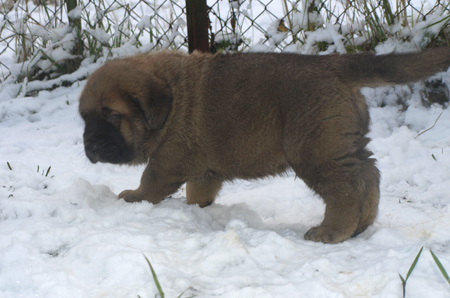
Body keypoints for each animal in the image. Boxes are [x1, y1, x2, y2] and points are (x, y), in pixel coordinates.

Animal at [79, 47, 450, 243]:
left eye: (114, 116)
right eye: (85, 118)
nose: (92, 146)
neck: (172, 100)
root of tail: (332, 63)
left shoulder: (170, 157)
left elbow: (151, 180)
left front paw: (134, 197)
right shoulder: (204, 169)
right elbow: (198, 191)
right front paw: (196, 209)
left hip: (315, 150)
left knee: (346, 188)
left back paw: (332, 231)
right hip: (342, 142)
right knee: (369, 174)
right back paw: (363, 224)